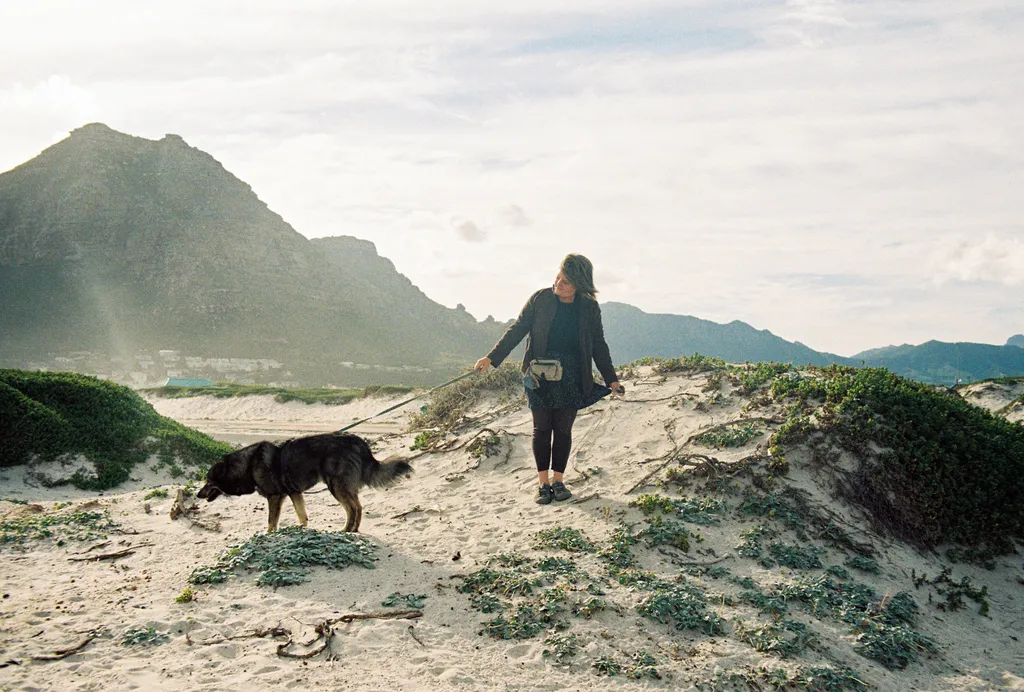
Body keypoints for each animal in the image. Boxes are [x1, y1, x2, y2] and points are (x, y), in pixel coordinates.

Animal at [195, 431, 411, 536]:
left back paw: (347, 530)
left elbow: (271, 522)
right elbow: (302, 516)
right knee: (358, 507)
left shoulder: (275, 497)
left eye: (207, 481)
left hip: (336, 486)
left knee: (352, 508)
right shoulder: (294, 493)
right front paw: (301, 530)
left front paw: (267, 535)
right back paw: (354, 530)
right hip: (346, 487)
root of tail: (358, 441)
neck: (248, 464)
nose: (198, 494)